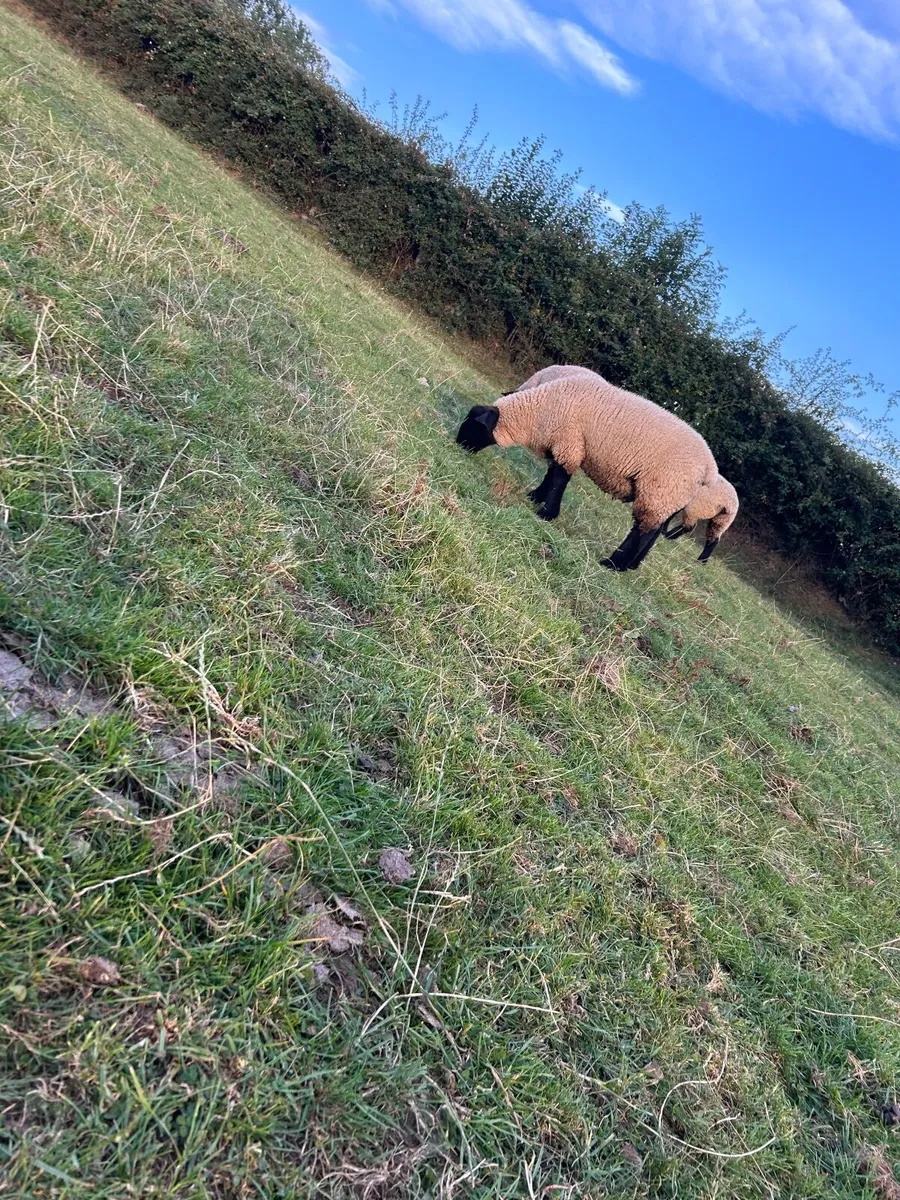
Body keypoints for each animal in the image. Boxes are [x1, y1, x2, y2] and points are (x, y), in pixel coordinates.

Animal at [456, 366, 718, 571]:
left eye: (473, 425)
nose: (458, 444)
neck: (539, 412)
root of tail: (708, 468)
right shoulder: (561, 443)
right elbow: (552, 474)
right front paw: (535, 497)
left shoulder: (569, 442)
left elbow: (559, 478)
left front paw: (546, 513)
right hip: (672, 497)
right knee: (654, 531)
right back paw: (632, 565)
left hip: (661, 489)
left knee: (643, 531)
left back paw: (614, 564)